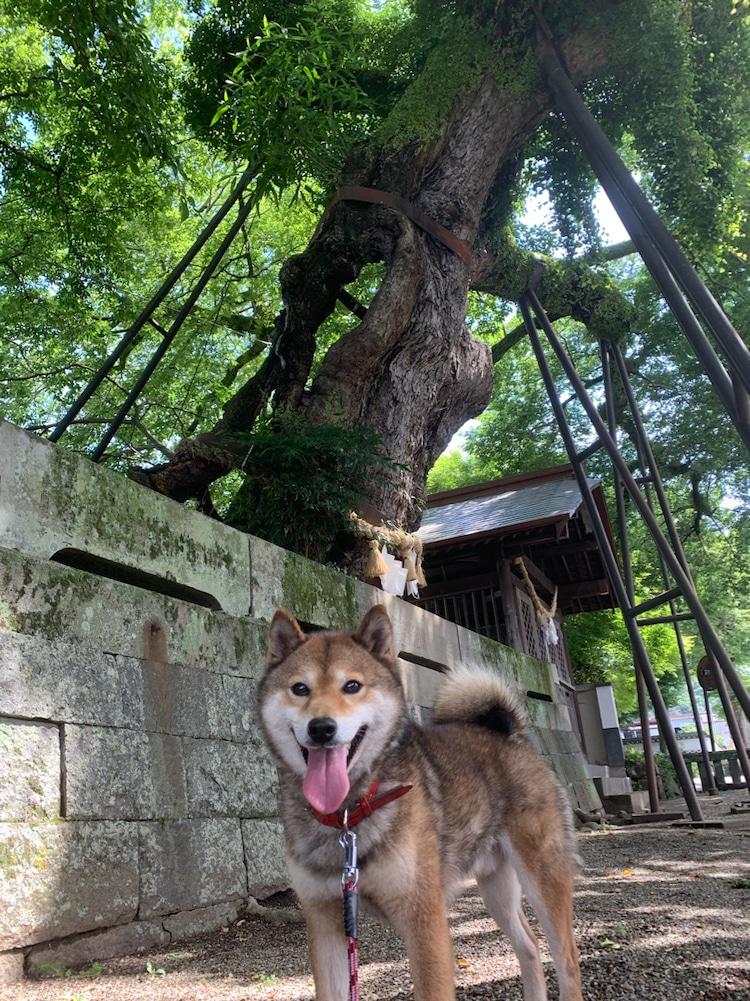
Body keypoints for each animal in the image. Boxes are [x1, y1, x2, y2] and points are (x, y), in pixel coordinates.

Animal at [260, 600, 580, 1001]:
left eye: (352, 686)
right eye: (300, 689)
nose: (321, 728)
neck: (349, 815)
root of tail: (510, 731)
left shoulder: (425, 922)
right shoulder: (325, 920)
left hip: (542, 875)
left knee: (566, 960)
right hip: (497, 887)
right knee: (530, 947)